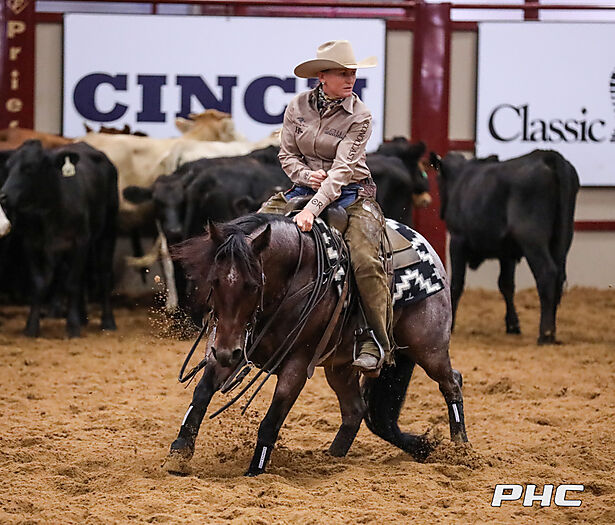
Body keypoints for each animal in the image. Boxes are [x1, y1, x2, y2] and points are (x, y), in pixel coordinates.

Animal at [0, 140, 119, 337]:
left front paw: (72, 327)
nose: (3, 196)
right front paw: (31, 327)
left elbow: (72, 283)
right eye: (8, 168)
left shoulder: (80, 241)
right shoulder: (30, 243)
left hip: (108, 231)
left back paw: (108, 321)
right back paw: (83, 317)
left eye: (29, 168)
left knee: (104, 273)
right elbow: (39, 284)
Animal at [165, 212, 468, 476]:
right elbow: (201, 395)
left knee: (451, 382)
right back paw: (332, 459)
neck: (292, 282)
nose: (227, 352)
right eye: (214, 281)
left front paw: (255, 470)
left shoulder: (297, 364)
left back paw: (462, 451)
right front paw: (178, 454)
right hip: (340, 368)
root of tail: (427, 246)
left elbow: (272, 418)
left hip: (429, 348)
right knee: (355, 411)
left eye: (252, 285)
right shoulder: (232, 345)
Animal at [430, 149, 580, 344]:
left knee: (547, 274)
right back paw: (552, 332)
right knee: (558, 278)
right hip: (562, 239)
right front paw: (513, 325)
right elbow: (506, 285)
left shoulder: (457, 241)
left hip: (532, 239)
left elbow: (456, 284)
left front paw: (451, 324)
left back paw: (545, 334)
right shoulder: (507, 252)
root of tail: (546, 156)